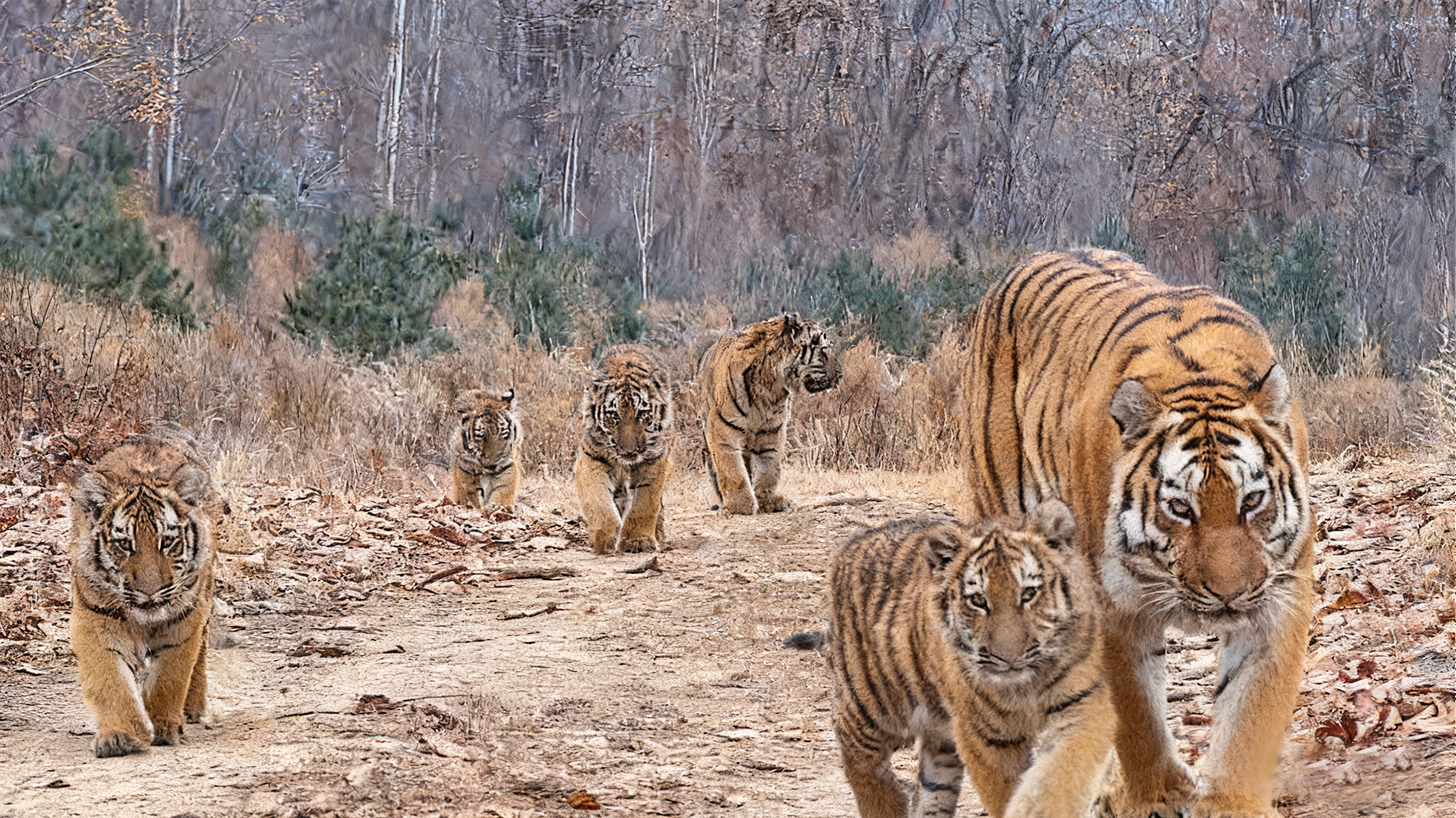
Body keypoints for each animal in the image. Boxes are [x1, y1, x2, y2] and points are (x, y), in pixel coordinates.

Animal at [69, 425, 219, 757]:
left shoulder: (185, 621)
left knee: (200, 657)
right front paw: (120, 736)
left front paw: (164, 727)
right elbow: (110, 680)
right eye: (125, 544)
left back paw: (192, 709)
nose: (150, 592)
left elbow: (170, 676)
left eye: (168, 541)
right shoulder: (96, 620)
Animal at [574, 344, 673, 554]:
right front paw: (605, 538)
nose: (629, 451)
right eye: (614, 416)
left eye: (642, 413)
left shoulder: (653, 460)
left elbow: (644, 504)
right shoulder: (590, 458)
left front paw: (638, 542)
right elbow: (598, 502)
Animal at [697, 312, 837, 514]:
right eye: (823, 351)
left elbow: (768, 467)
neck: (771, 385)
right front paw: (740, 505)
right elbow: (731, 469)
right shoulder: (723, 429)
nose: (840, 375)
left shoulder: (771, 430)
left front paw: (767, 501)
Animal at [826, 500, 1112, 818]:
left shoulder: (1083, 705)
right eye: (978, 600)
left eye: (1029, 593)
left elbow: (1060, 775)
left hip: (940, 742)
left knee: (932, 789)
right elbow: (1005, 791)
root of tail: (854, 542)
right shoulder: (986, 737)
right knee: (860, 760)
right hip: (869, 706)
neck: (1026, 687)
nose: (1009, 658)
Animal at [960, 249, 1314, 818]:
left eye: (1252, 501)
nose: (1230, 594)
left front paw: (1232, 802)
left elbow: (1252, 710)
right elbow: (1136, 713)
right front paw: (1158, 796)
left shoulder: (1279, 595)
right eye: (1180, 508)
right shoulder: (1112, 607)